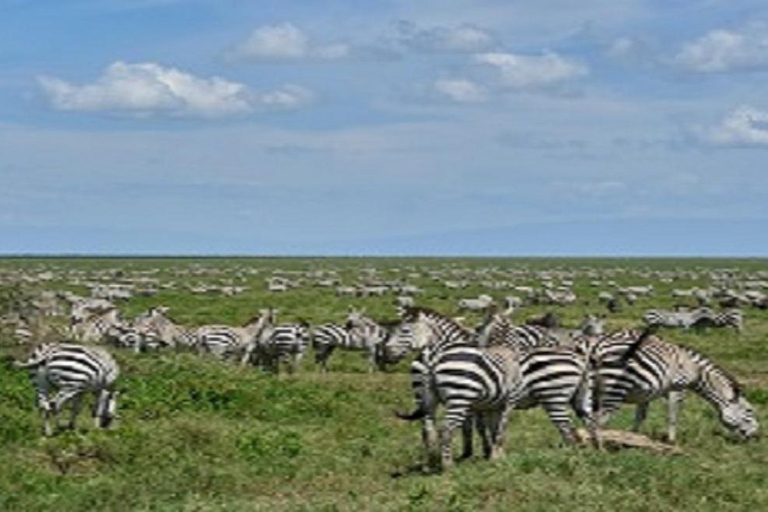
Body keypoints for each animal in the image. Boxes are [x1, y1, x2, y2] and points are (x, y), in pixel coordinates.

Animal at [584, 330, 760, 442]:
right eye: (749, 411)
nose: (755, 436)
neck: (695, 369)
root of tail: (596, 346)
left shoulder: (647, 391)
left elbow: (640, 416)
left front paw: (634, 437)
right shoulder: (678, 388)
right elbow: (673, 416)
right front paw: (671, 441)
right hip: (613, 387)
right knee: (598, 420)